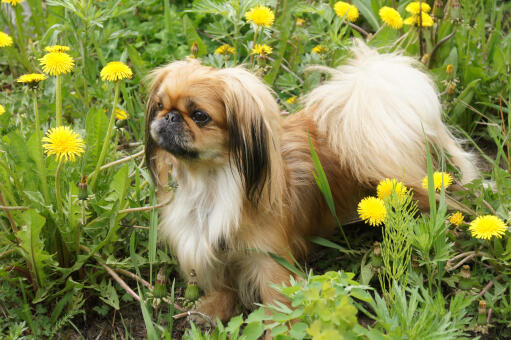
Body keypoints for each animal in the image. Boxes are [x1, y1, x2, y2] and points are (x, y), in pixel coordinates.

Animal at [145, 39, 480, 322]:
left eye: (200, 116)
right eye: (160, 106)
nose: (170, 117)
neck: (209, 181)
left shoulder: (269, 262)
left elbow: (277, 310)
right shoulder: (207, 246)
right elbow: (222, 286)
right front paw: (213, 309)